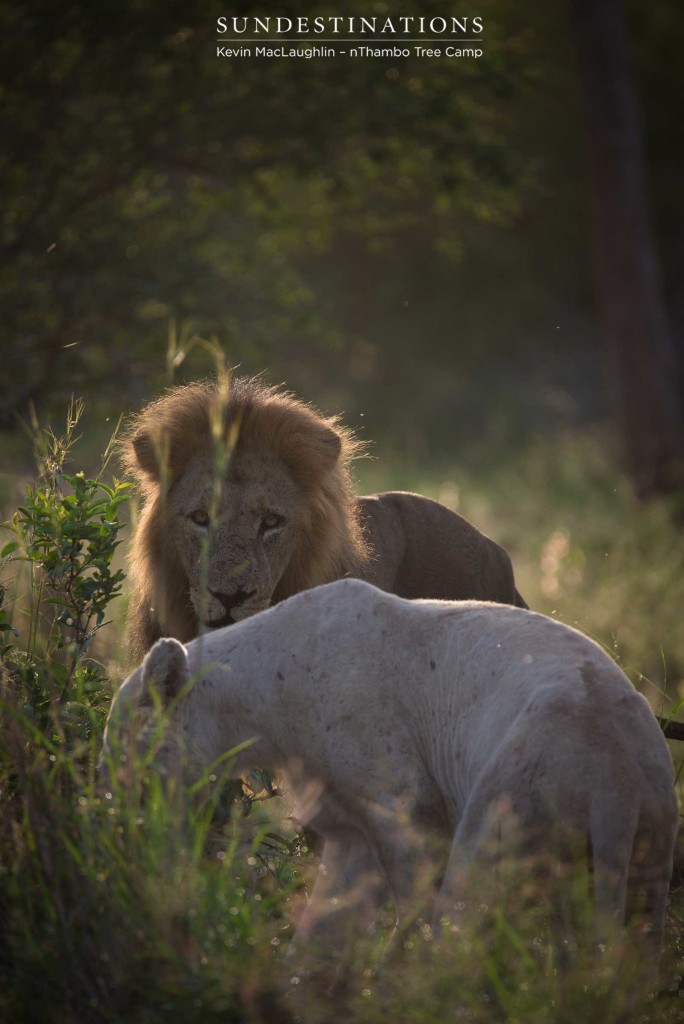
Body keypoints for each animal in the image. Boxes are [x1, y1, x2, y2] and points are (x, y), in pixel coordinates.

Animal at [101, 581, 679, 978]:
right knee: (636, 916)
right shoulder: (331, 779)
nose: (120, 817)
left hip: (520, 776)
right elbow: (343, 879)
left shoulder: (367, 736)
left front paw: (392, 961)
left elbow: (408, 853)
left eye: (123, 750)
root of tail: (613, 780)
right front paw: (302, 973)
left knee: (471, 884)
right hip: (652, 817)